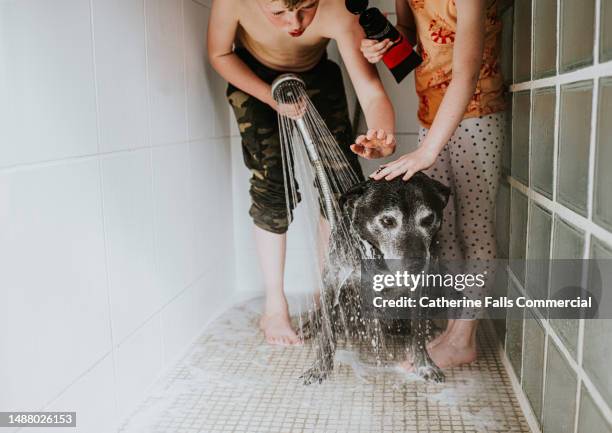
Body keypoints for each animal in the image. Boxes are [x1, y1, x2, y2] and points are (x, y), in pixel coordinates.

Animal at [300, 170, 450, 384]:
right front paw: (320, 368)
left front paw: (425, 365)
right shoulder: (333, 281)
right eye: (387, 221)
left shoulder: (420, 288)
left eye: (428, 219)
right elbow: (327, 333)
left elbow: (419, 332)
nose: (416, 265)